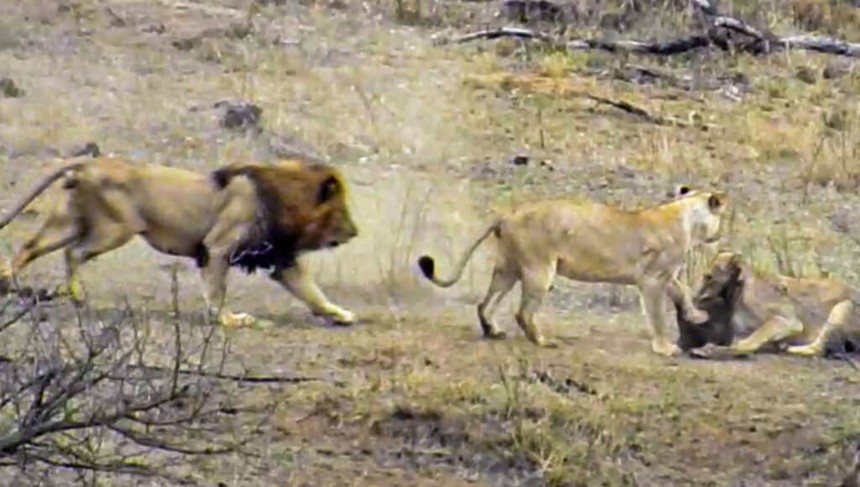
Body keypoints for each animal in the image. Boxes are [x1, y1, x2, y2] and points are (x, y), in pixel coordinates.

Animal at [0, 156, 358, 328]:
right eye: (340, 211)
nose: (355, 232)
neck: (285, 197)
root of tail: (91, 162)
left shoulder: (279, 257)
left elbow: (312, 292)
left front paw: (340, 314)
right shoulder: (218, 247)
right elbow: (216, 291)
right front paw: (229, 320)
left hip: (69, 223)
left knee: (29, 248)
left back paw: (6, 282)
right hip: (117, 227)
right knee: (73, 253)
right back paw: (76, 295)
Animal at [414, 189, 724, 356]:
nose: (720, 234)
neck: (686, 218)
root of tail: (508, 213)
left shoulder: (667, 275)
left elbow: (683, 291)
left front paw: (697, 315)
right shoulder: (651, 280)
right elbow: (658, 315)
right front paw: (664, 347)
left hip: (508, 268)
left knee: (484, 303)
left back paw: (493, 331)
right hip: (539, 268)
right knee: (522, 312)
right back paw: (542, 341)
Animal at [676, 252, 856, 358]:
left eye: (708, 276)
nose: (695, 295)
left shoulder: (788, 320)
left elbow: (750, 341)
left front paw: (709, 350)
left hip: (842, 308)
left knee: (818, 349)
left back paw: (789, 348)